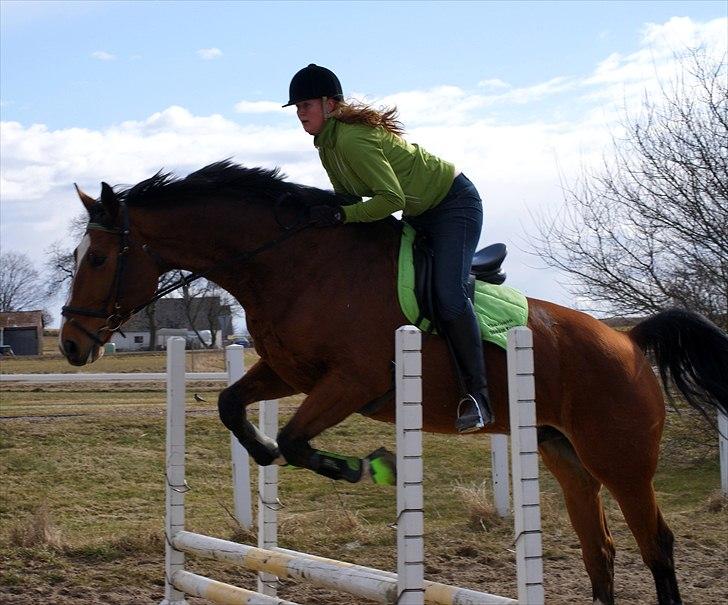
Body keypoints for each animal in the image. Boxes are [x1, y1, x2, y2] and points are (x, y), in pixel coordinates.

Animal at [59, 162, 724, 604]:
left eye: (98, 259)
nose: (70, 344)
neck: (292, 263)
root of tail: (630, 342)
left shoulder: (349, 382)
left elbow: (296, 440)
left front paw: (367, 467)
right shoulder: (287, 373)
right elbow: (234, 409)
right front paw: (279, 455)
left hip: (622, 462)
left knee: (656, 547)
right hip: (566, 457)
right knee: (600, 552)